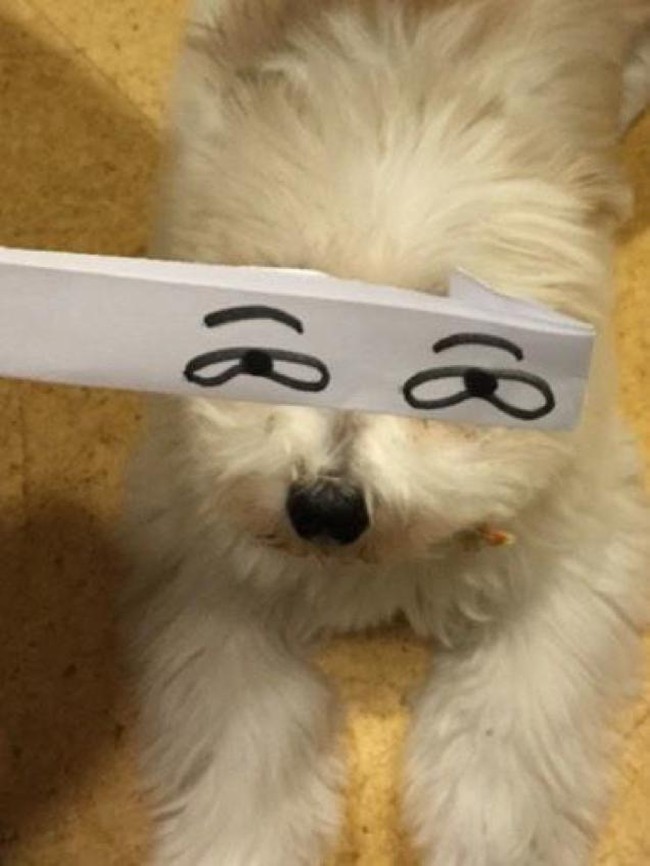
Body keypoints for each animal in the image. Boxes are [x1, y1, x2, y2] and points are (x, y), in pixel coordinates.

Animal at [122, 1, 650, 863]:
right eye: (262, 356)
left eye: (472, 382)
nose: (326, 508)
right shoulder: (204, 556)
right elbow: (247, 725)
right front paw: (240, 838)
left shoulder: (576, 547)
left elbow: (504, 734)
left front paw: (491, 836)